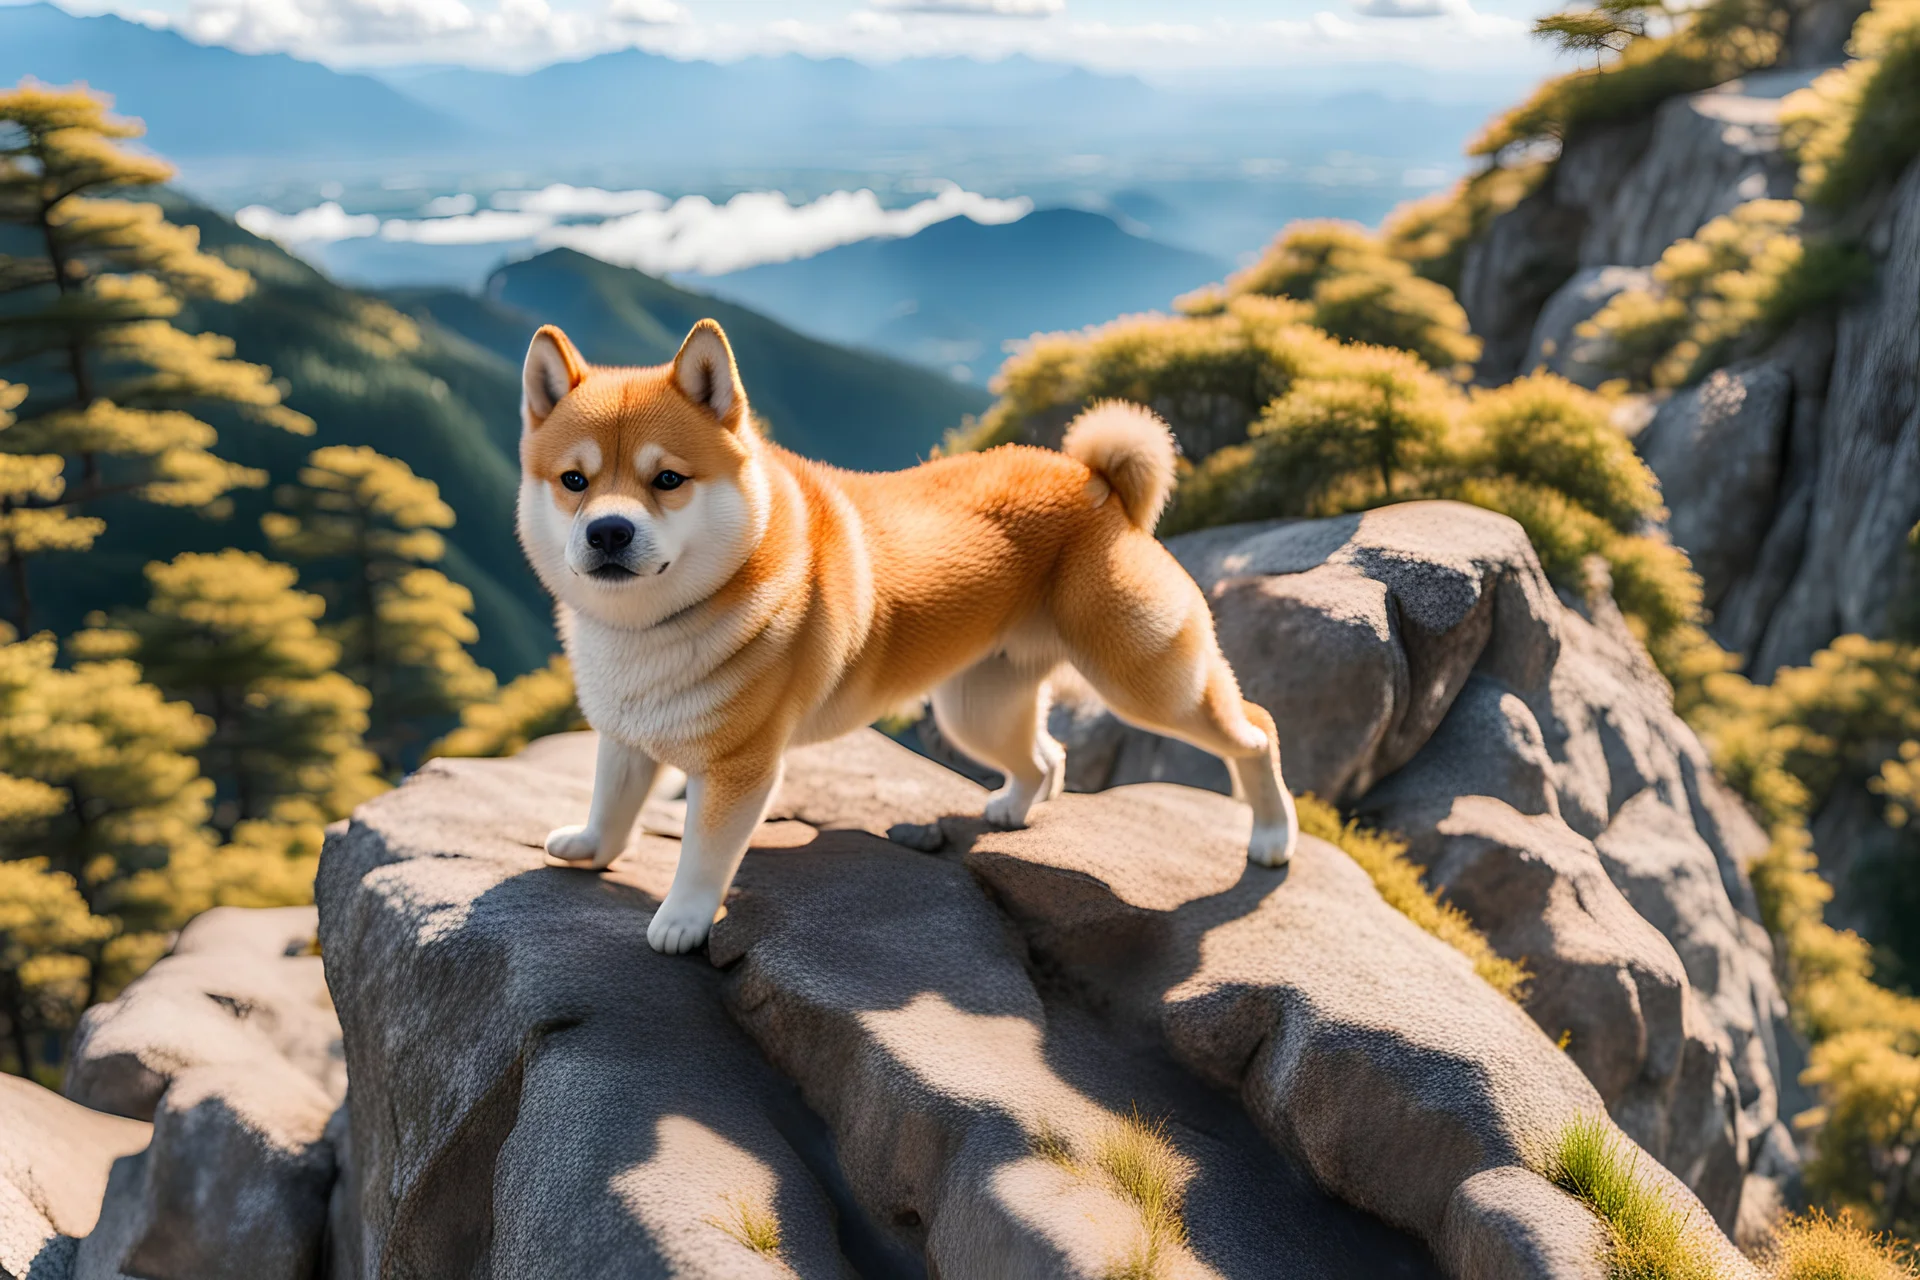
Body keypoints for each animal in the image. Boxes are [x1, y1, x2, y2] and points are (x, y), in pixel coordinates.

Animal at [518, 320, 1297, 955]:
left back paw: (1271, 837)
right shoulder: (627, 737)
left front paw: (681, 920)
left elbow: (702, 856)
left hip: (1144, 679)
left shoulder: (740, 768)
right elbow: (612, 804)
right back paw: (1016, 807)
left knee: (1257, 728)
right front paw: (589, 847)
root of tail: (1092, 479)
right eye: (575, 481)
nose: (608, 531)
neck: (650, 628)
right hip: (977, 708)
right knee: (1046, 755)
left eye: (668, 479)